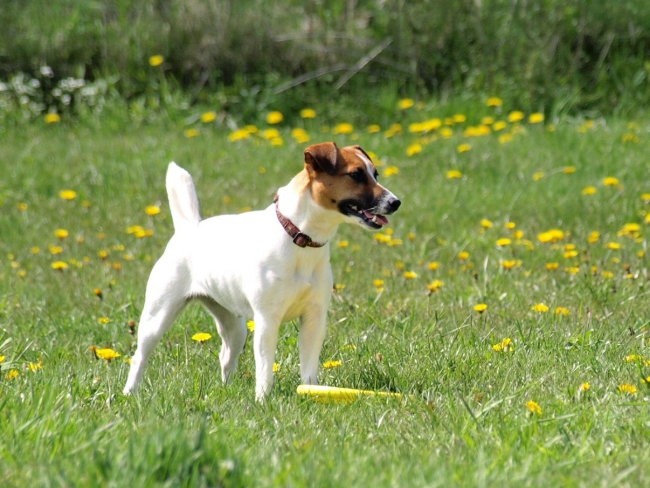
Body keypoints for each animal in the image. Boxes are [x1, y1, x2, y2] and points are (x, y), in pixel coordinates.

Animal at [119, 141, 398, 400]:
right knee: (140, 356)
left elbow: (308, 365)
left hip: (234, 326)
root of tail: (189, 228)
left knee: (225, 356)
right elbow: (264, 368)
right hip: (158, 314)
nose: (396, 202)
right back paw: (129, 392)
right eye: (356, 174)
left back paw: (226, 389)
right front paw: (262, 400)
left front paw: (311, 390)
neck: (299, 239)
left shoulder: (314, 317)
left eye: (375, 173)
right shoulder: (267, 319)